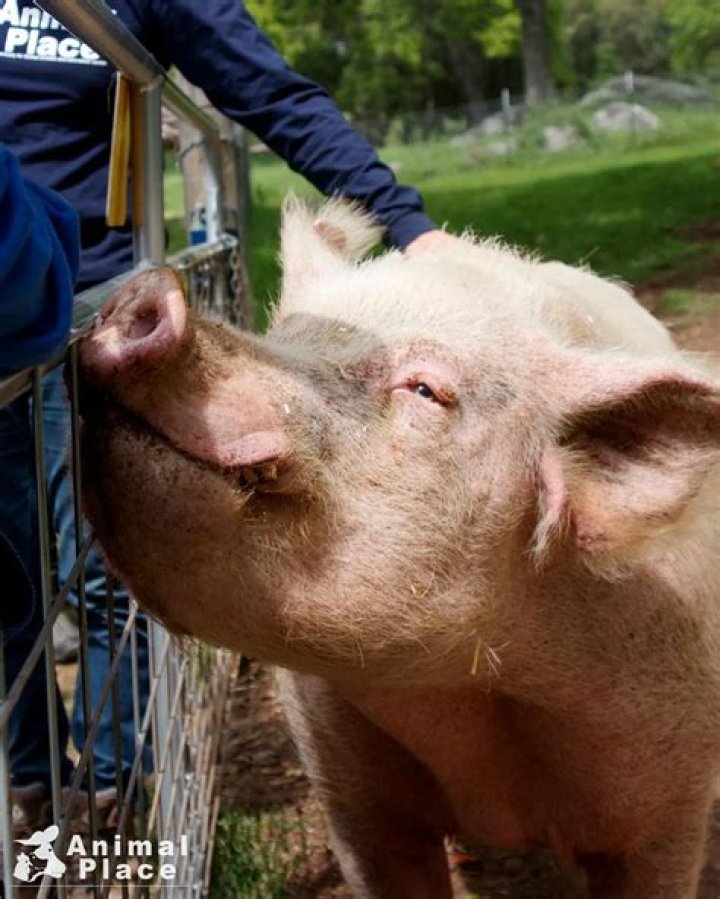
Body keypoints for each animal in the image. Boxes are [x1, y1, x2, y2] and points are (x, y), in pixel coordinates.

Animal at [77, 199, 720, 898]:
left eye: (424, 391)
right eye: (291, 333)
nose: (147, 291)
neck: (471, 697)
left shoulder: (669, 806)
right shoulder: (350, 791)